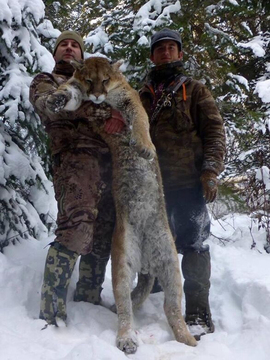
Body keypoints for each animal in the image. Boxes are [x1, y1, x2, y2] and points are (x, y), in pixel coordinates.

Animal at [47, 57, 196, 354]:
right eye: (89, 80)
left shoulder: (129, 100)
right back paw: (127, 339)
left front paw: (144, 148)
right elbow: (70, 94)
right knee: (128, 308)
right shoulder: (82, 97)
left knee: (172, 308)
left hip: (171, 263)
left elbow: (139, 121)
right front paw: (56, 98)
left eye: (105, 80)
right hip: (123, 262)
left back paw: (188, 340)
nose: (96, 94)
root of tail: (148, 262)